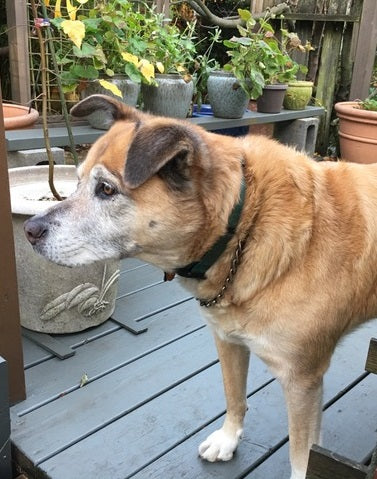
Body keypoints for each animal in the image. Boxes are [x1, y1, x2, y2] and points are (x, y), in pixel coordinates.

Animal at [24, 94, 376, 479]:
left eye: (106, 189)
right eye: (76, 183)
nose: (29, 230)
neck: (243, 226)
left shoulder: (302, 381)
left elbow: (303, 457)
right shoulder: (227, 339)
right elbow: (234, 396)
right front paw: (228, 439)